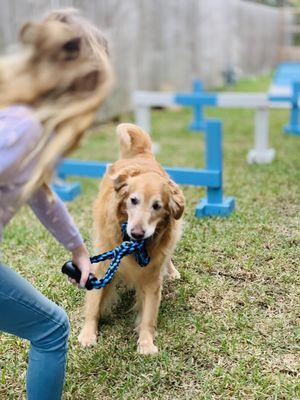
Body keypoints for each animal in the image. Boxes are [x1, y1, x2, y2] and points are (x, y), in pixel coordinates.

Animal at [78, 123, 184, 354]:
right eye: (133, 200)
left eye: (157, 206)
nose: (137, 233)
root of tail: (142, 154)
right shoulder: (103, 263)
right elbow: (94, 302)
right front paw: (88, 334)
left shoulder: (152, 274)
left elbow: (149, 315)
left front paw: (146, 343)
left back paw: (172, 271)